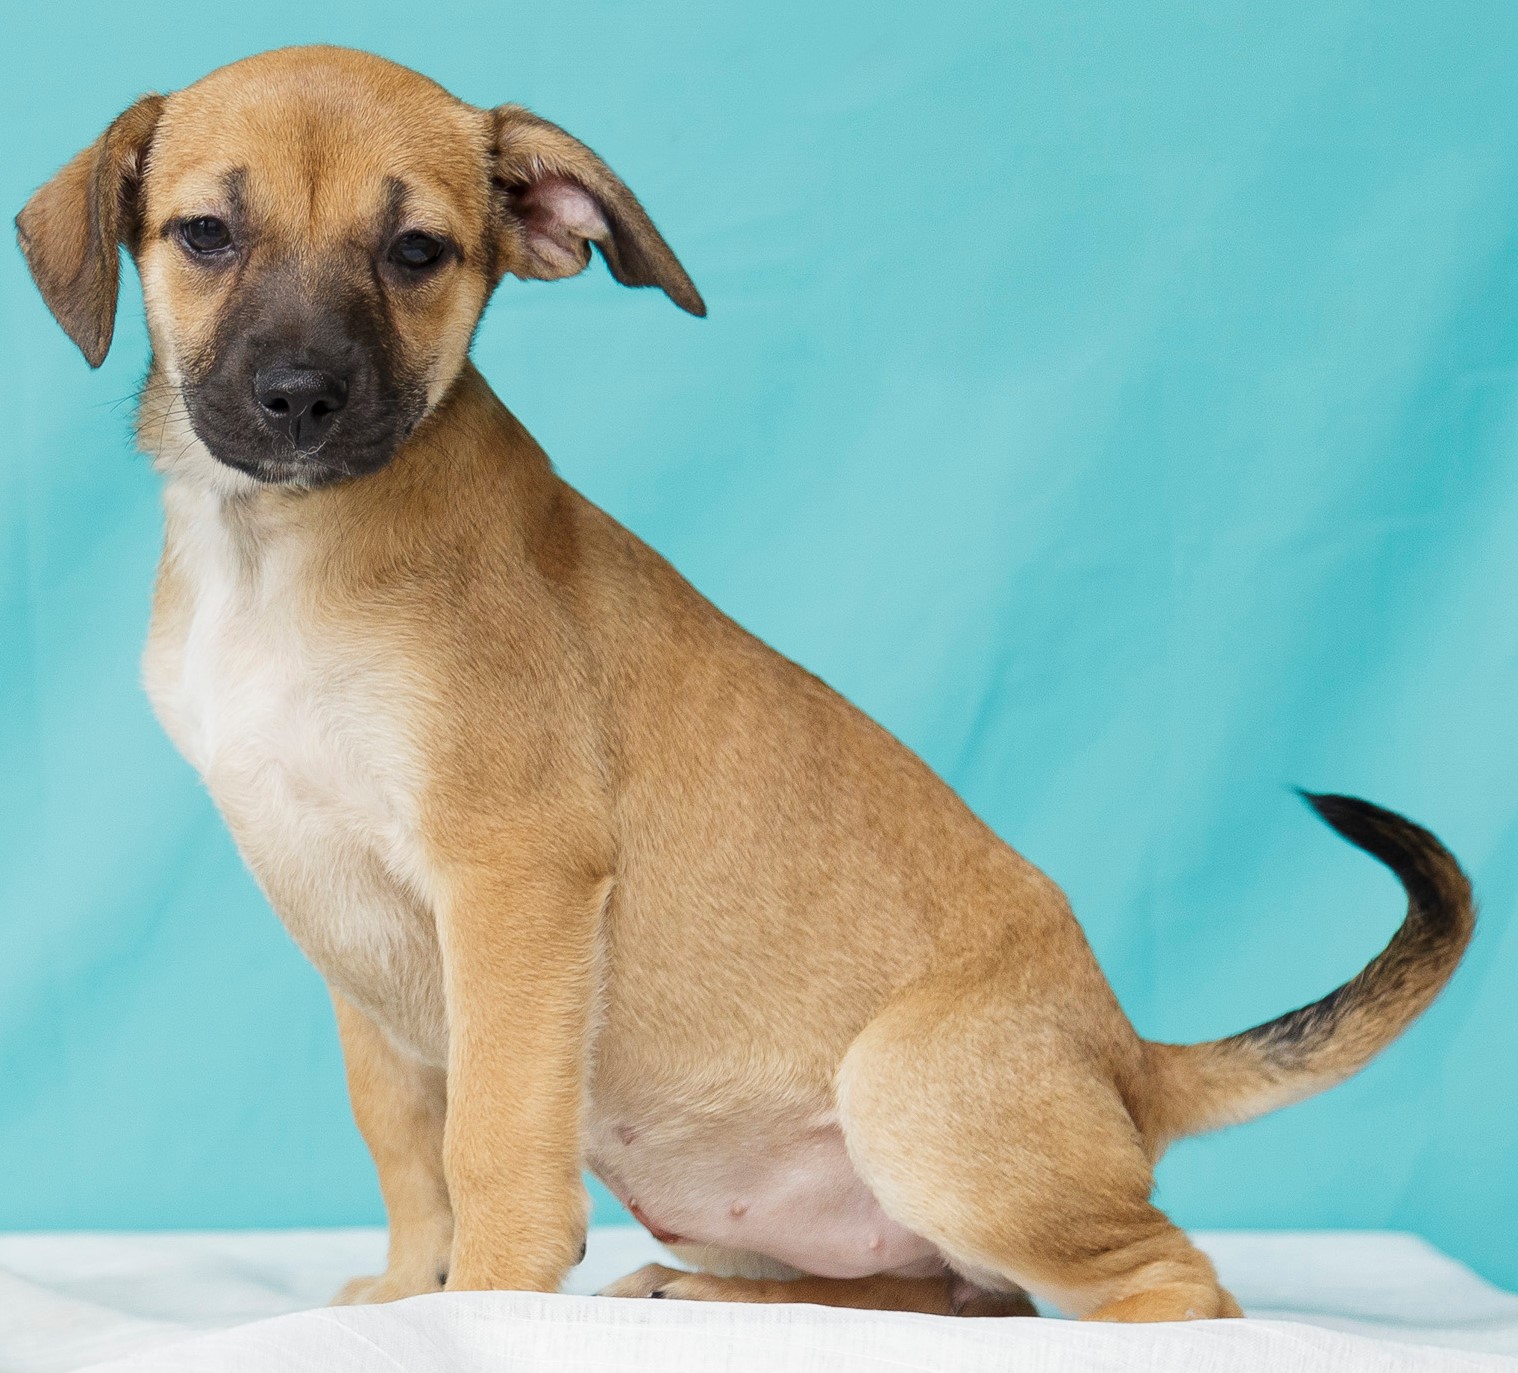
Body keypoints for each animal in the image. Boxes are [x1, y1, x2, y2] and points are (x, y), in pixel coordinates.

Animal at [17, 48, 1475, 1324]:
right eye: (207, 234)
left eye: (416, 253)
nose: (297, 399)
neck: (277, 551)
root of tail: (1124, 1057)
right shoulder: (347, 934)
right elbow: (404, 1142)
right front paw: (408, 1291)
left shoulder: (512, 875)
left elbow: (492, 1134)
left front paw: (483, 1298)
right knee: (956, 1294)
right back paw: (710, 1294)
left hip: (915, 1101)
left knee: (1169, 1286)